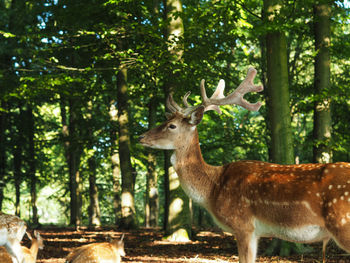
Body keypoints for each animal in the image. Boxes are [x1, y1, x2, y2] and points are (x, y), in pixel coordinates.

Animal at [138, 67, 350, 262]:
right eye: (166, 121)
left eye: (172, 126)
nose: (141, 137)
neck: (212, 189)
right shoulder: (255, 232)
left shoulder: (243, 225)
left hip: (343, 224)